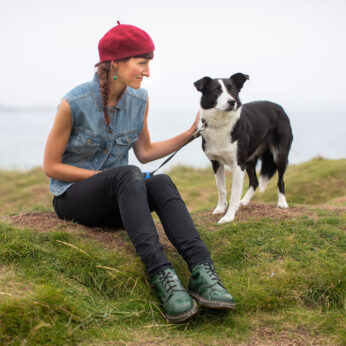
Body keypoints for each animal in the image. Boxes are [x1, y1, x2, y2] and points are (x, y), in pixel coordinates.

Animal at [195, 73, 292, 224]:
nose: (231, 102)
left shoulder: (238, 164)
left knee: (280, 180)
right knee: (255, 182)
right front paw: (220, 208)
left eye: (232, 89)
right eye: (216, 90)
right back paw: (244, 202)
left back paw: (282, 203)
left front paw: (228, 216)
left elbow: (234, 192)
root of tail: (279, 107)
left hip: (279, 154)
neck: (220, 123)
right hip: (249, 159)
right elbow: (221, 189)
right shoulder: (216, 163)